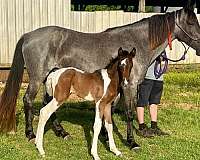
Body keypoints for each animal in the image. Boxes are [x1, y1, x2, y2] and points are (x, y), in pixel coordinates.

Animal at [0, 4, 200, 149]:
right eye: (191, 23)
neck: (136, 43)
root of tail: (28, 35)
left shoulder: (117, 88)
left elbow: (110, 109)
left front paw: (105, 134)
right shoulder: (130, 85)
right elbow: (129, 113)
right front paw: (132, 142)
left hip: (51, 79)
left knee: (47, 104)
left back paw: (62, 132)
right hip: (36, 78)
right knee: (28, 100)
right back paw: (30, 134)